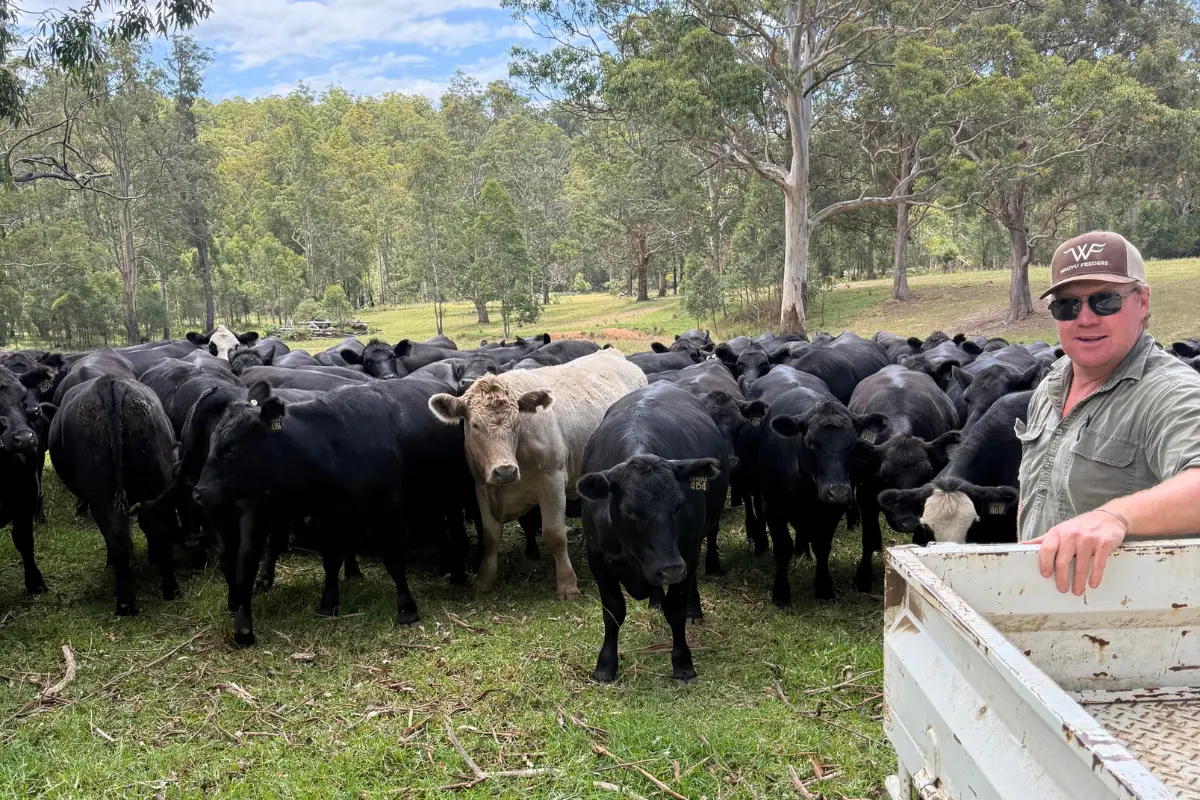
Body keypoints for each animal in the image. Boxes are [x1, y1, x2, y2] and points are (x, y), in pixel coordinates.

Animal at [49, 376, 182, 615]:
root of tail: (110, 383)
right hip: (155, 483)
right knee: (158, 529)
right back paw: (170, 589)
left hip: (102, 497)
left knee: (116, 536)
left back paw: (125, 604)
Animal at [428, 348, 647, 599]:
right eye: (474, 425)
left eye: (516, 422)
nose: (505, 471)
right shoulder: (482, 486)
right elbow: (490, 537)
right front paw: (484, 580)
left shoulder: (551, 482)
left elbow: (555, 536)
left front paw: (567, 584)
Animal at [579, 382, 731, 683]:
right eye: (628, 511)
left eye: (679, 504)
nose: (669, 569)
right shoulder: (596, 556)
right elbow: (612, 611)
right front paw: (605, 665)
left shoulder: (687, 552)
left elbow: (677, 609)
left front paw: (682, 663)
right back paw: (655, 599)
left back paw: (693, 608)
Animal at [758, 384, 888, 604]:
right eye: (811, 443)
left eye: (853, 445)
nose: (838, 491)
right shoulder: (772, 507)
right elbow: (782, 549)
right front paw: (781, 593)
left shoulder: (832, 512)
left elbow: (822, 547)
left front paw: (823, 588)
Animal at [848, 366, 961, 590]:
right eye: (883, 475)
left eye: (928, 474)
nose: (907, 521)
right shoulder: (865, 495)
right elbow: (869, 537)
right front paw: (862, 577)